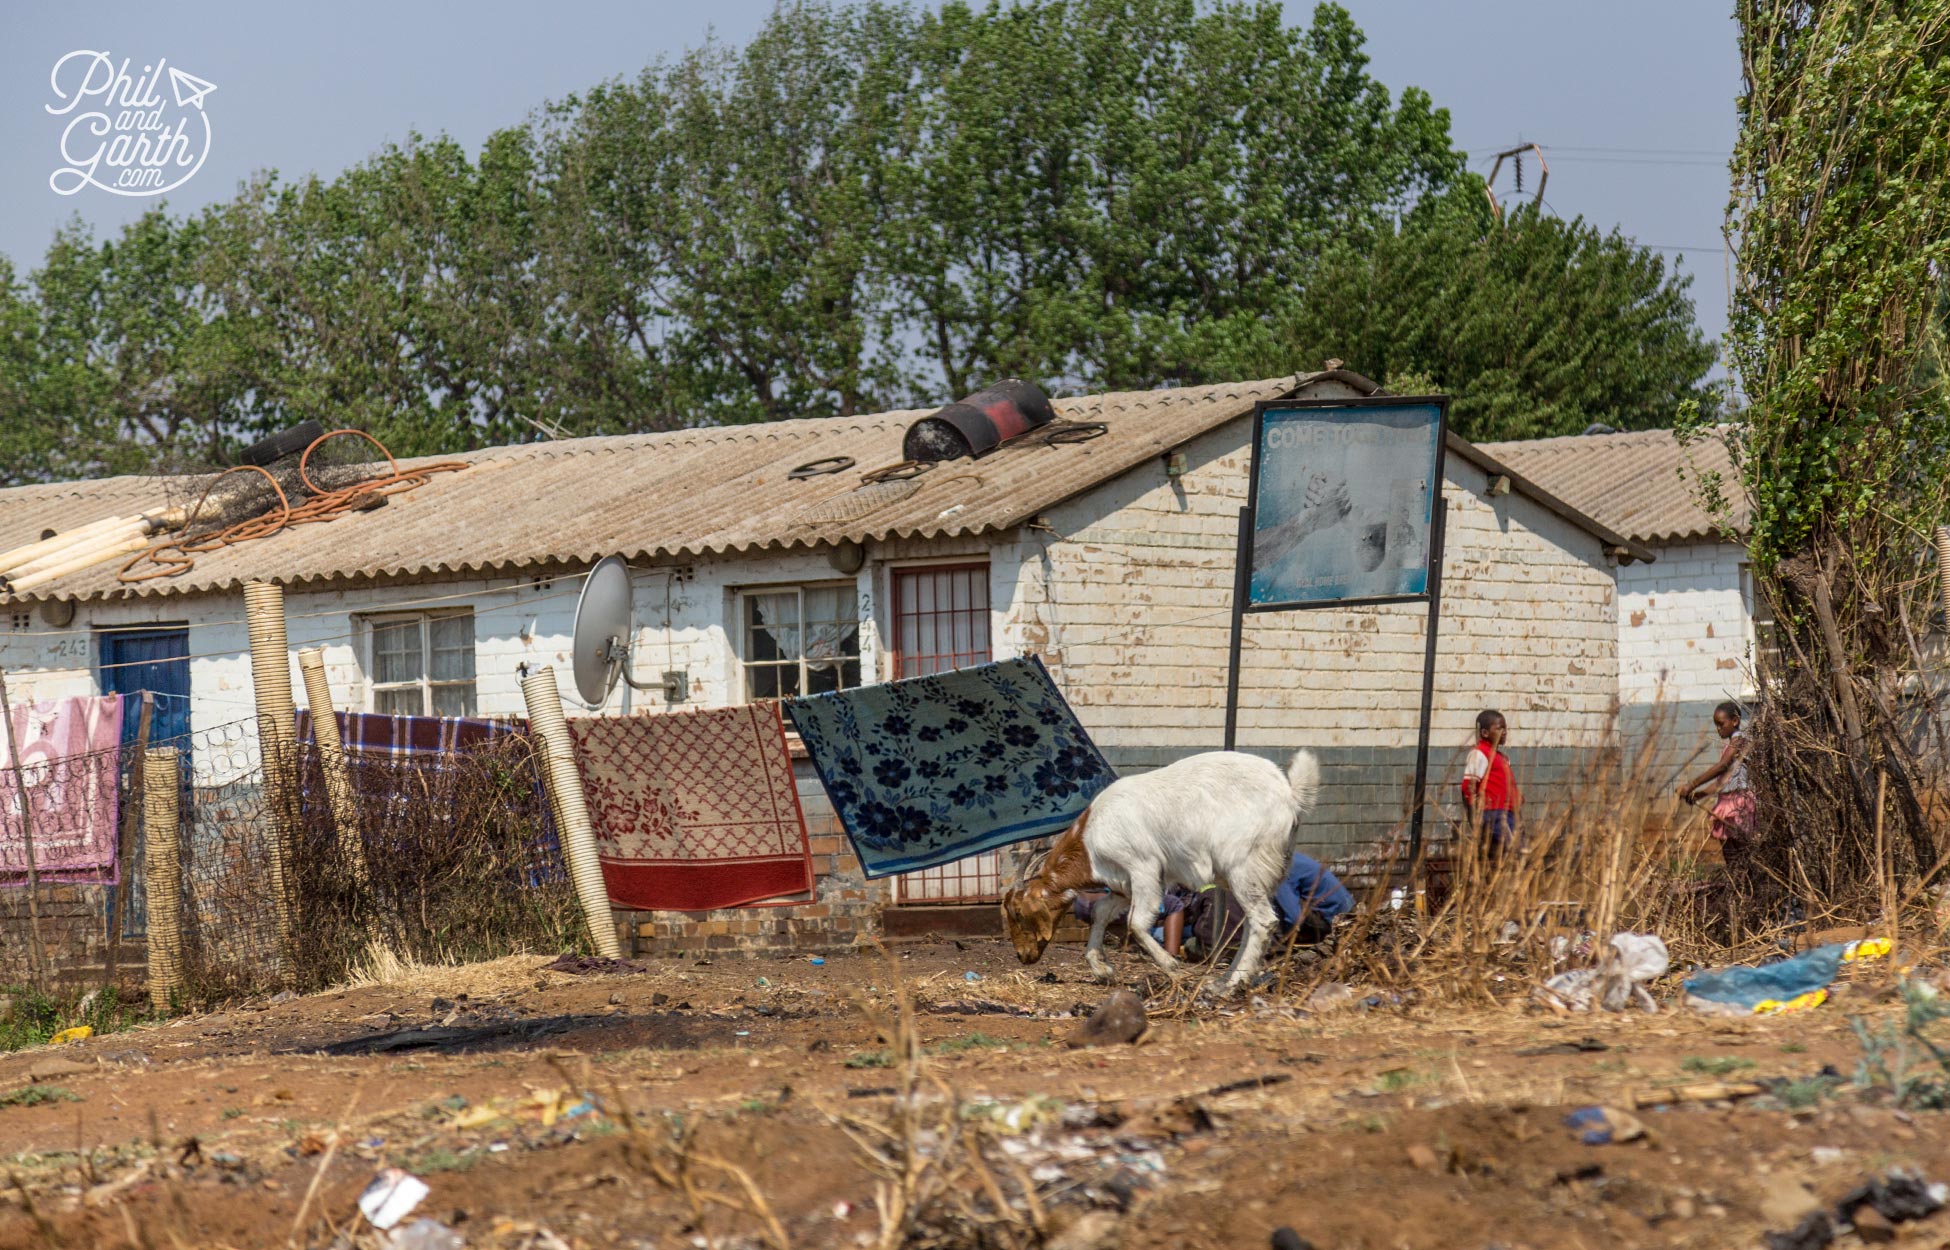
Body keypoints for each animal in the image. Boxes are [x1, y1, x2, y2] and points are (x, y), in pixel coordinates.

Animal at [1006, 744, 1326, 990]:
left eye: (1019, 914)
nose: (1023, 956)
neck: (1089, 839)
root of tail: (1290, 794)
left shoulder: (1143, 868)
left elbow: (1136, 922)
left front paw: (1171, 966)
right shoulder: (1122, 884)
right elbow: (1101, 912)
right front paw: (1102, 970)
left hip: (1243, 866)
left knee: (1263, 920)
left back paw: (1232, 984)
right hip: (1260, 874)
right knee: (1253, 921)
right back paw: (1224, 980)